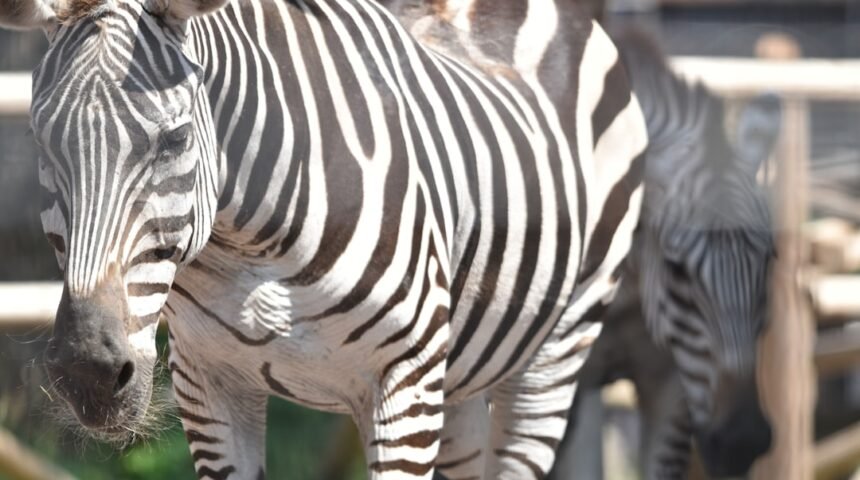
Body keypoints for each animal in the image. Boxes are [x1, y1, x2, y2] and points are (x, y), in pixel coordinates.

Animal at [0, 0, 649, 478]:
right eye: (40, 140)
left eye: (176, 138)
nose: (89, 370)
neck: (245, 250)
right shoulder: (207, 383)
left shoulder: (404, 385)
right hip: (462, 372)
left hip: (555, 353)